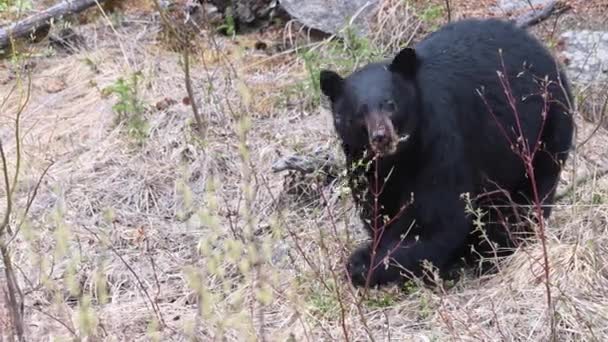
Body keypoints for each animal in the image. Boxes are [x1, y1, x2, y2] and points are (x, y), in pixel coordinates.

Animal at [320, 17, 572, 288]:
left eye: (391, 104)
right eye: (359, 113)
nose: (381, 137)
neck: (400, 157)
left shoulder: (439, 140)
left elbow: (437, 218)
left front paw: (368, 263)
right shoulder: (363, 163)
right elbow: (378, 209)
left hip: (547, 127)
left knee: (530, 194)